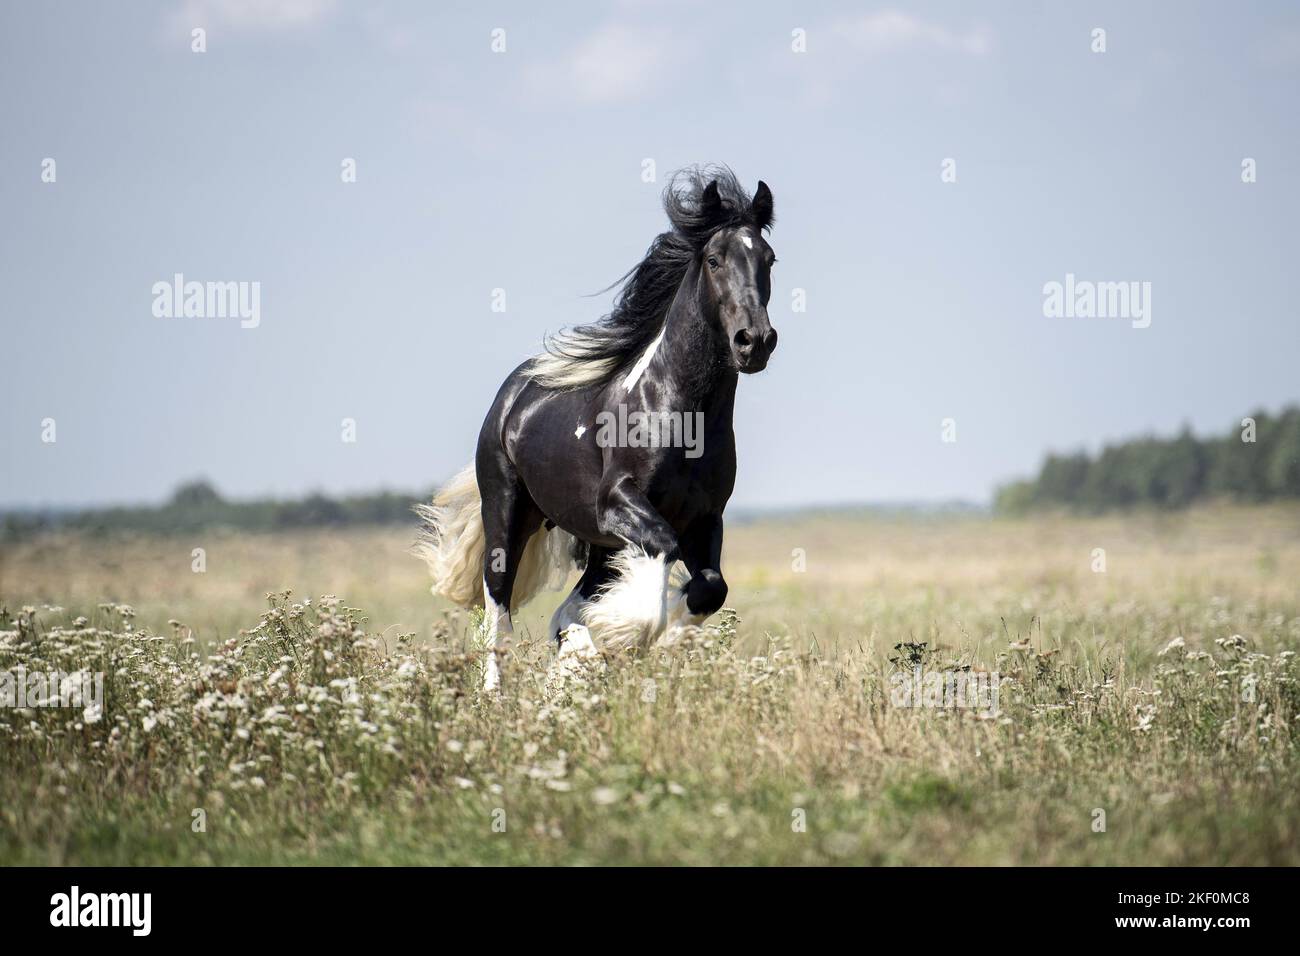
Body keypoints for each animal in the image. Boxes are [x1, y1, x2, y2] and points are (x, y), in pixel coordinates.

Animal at [416, 167, 774, 691]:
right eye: (714, 259)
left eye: (769, 259)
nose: (755, 342)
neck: (678, 412)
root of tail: (512, 395)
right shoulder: (620, 504)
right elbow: (664, 553)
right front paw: (634, 633)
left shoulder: (706, 519)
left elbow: (711, 586)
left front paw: (650, 640)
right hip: (507, 511)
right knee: (498, 608)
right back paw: (499, 692)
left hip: (604, 547)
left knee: (563, 611)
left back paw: (576, 657)